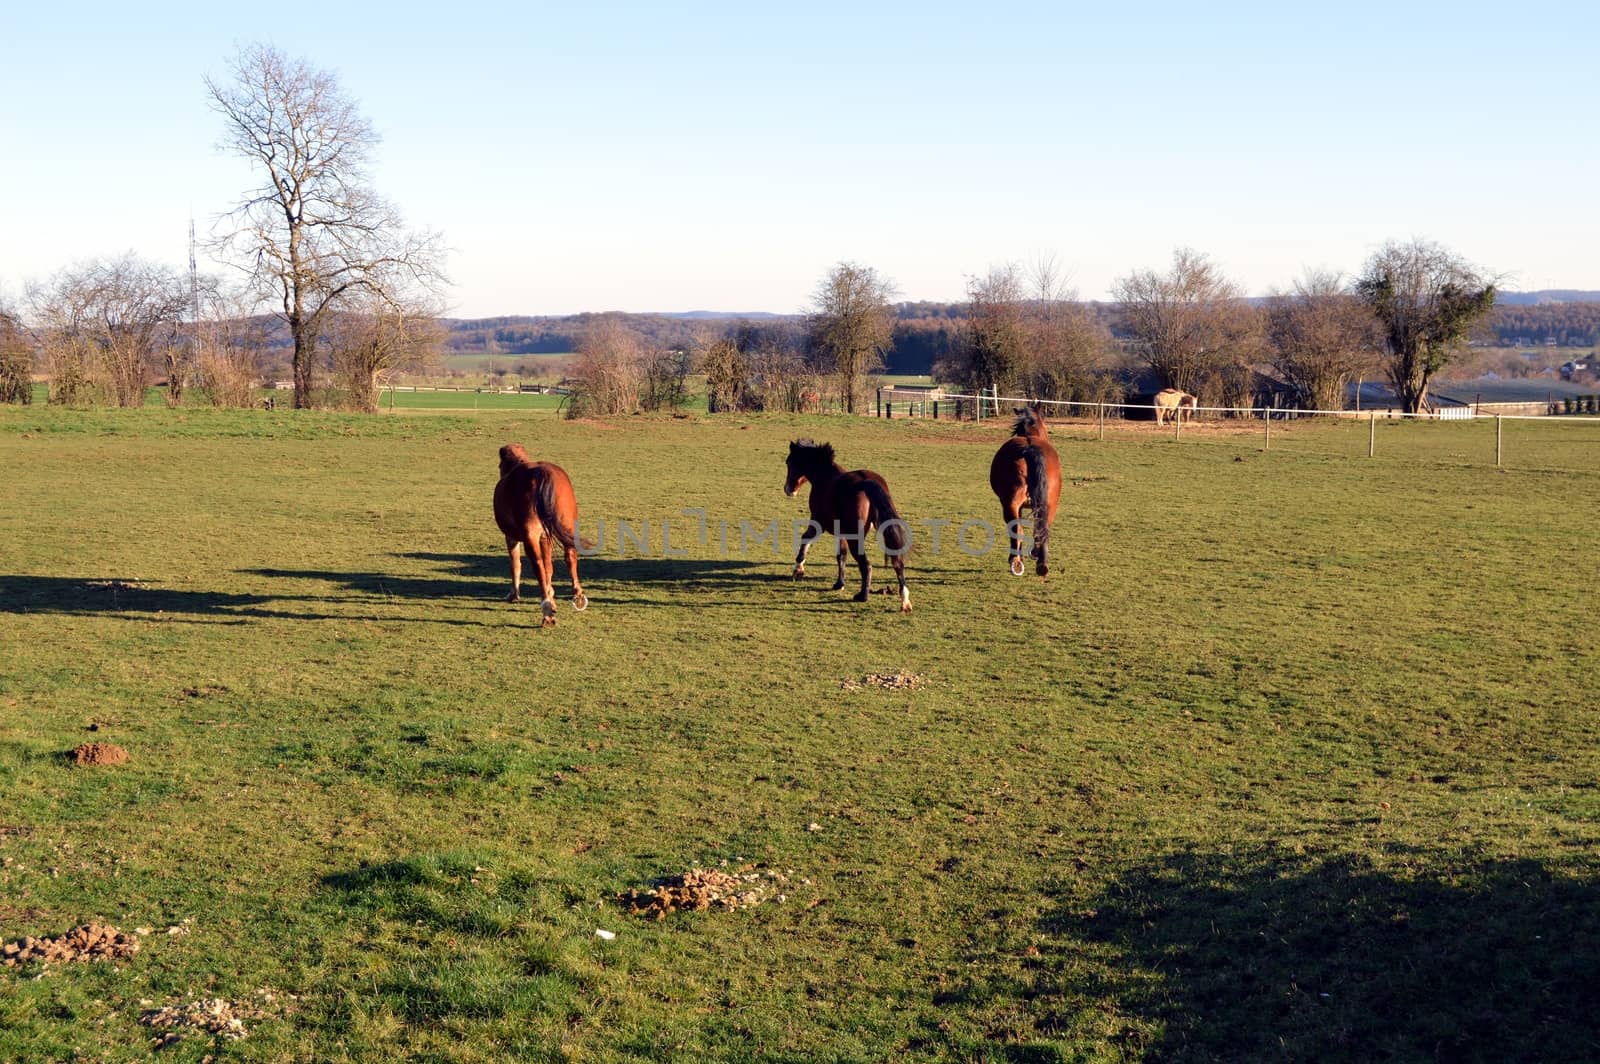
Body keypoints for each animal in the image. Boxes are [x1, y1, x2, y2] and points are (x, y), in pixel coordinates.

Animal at [492, 441, 588, 624]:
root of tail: (542, 473)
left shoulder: (511, 537)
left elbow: (515, 564)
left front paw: (514, 594)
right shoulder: (545, 537)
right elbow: (549, 566)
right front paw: (551, 594)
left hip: (530, 537)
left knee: (537, 565)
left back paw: (547, 610)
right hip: (566, 528)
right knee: (568, 557)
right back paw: (573, 594)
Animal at [787, 435, 915, 611]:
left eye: (788, 462)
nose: (788, 489)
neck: (825, 476)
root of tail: (865, 481)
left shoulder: (819, 522)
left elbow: (806, 539)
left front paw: (798, 569)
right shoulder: (841, 532)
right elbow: (841, 555)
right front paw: (839, 583)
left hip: (855, 538)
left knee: (866, 565)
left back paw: (863, 596)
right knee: (897, 563)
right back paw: (904, 600)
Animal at [985, 406, 1062, 576]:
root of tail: (1029, 448)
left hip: (1012, 504)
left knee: (1016, 527)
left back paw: (1016, 561)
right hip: (1049, 504)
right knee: (1042, 526)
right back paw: (1041, 563)